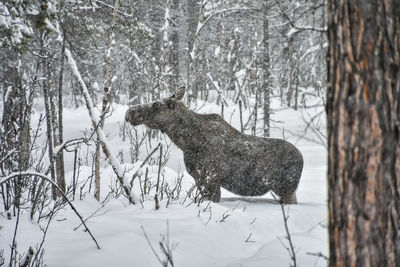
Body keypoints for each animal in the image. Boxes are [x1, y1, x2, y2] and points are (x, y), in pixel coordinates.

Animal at [125, 89, 304, 204]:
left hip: (287, 189)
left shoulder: (211, 178)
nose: (129, 112)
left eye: (156, 104)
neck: (187, 143)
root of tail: (302, 158)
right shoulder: (199, 178)